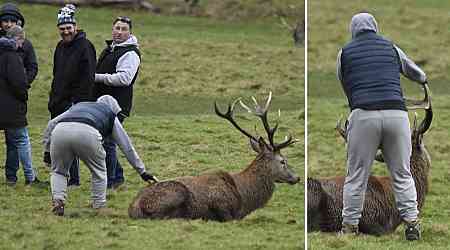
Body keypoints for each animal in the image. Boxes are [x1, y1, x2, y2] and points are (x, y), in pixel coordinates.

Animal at [128, 92, 300, 221]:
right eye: (283, 161)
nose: (297, 177)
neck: (244, 198)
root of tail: (133, 208)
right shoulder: (222, 208)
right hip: (176, 193)